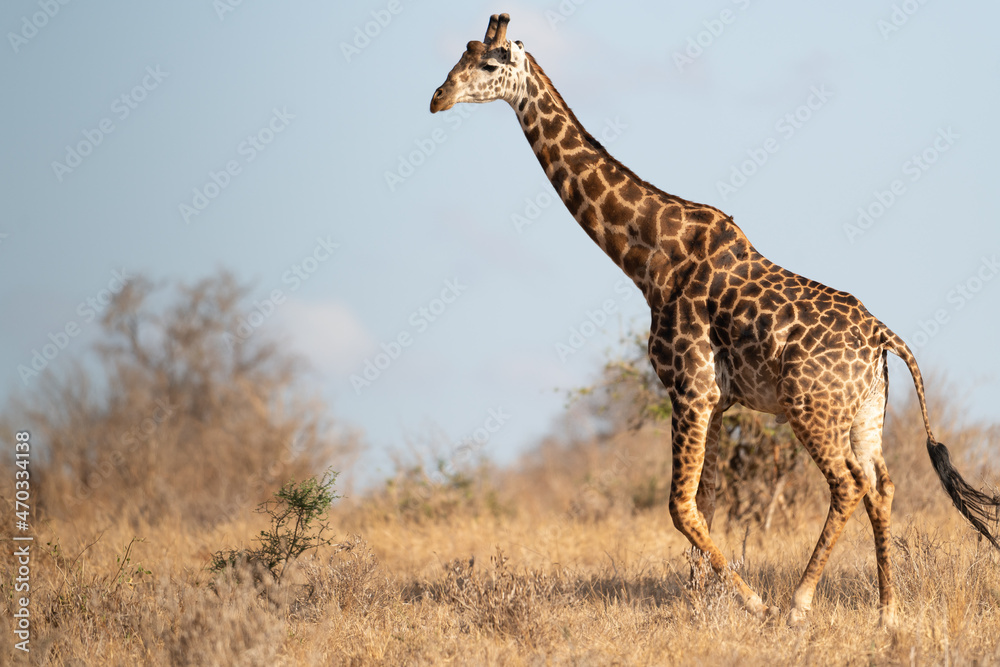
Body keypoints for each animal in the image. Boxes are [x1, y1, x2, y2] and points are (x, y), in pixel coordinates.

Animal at [430, 13, 1000, 627]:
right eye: (461, 53)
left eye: (488, 63)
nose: (438, 98)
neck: (651, 258)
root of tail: (881, 336)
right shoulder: (717, 401)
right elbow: (703, 500)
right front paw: (701, 600)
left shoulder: (690, 388)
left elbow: (680, 505)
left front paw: (749, 601)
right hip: (866, 411)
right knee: (881, 486)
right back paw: (887, 612)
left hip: (811, 409)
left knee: (847, 486)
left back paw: (797, 603)